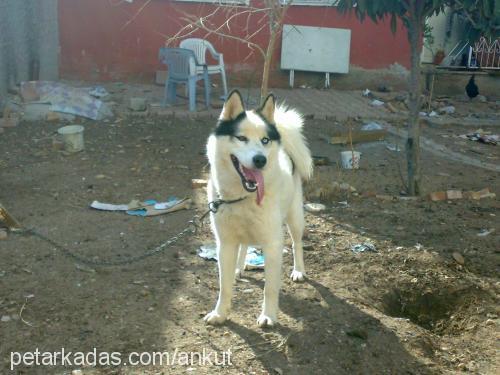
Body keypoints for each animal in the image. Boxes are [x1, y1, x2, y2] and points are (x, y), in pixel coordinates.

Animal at [203, 89, 312, 328]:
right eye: (241, 138)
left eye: (265, 140)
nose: (260, 159)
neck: (242, 197)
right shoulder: (225, 243)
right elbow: (224, 286)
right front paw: (220, 313)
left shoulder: (272, 244)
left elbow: (270, 288)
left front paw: (268, 316)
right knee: (244, 245)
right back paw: (239, 267)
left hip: (294, 218)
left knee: (297, 243)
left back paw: (299, 271)